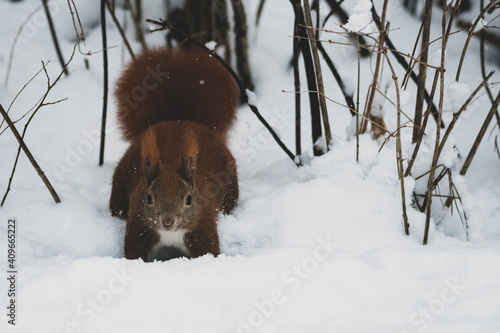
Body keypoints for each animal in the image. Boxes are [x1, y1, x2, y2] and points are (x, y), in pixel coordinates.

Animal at [110, 46, 239, 260]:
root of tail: (177, 119)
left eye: (189, 199)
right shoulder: (139, 226)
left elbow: (208, 253)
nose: (167, 221)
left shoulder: (202, 227)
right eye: (149, 198)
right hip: (120, 184)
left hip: (230, 189)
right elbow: (134, 254)